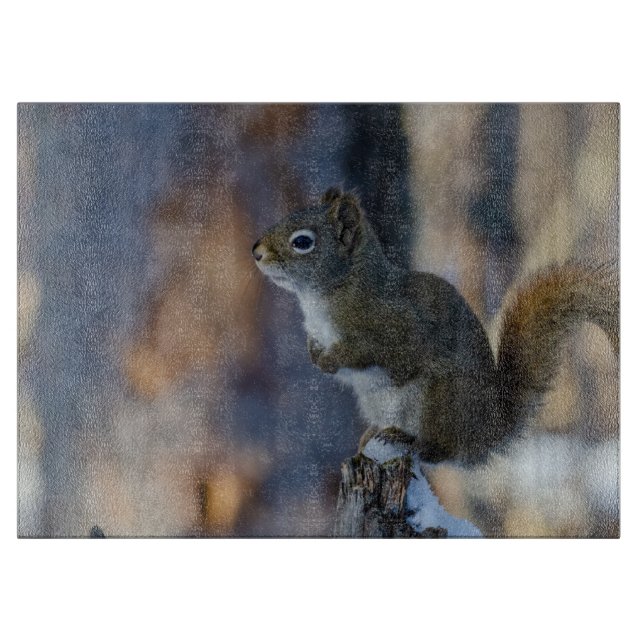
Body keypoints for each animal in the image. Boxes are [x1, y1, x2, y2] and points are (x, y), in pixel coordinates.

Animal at [252, 188, 619, 464]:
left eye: (302, 242)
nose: (256, 251)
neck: (327, 295)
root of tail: (488, 431)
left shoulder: (395, 327)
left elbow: (378, 352)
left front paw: (331, 360)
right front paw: (315, 357)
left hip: (439, 399)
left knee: (442, 451)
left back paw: (409, 440)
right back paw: (373, 434)